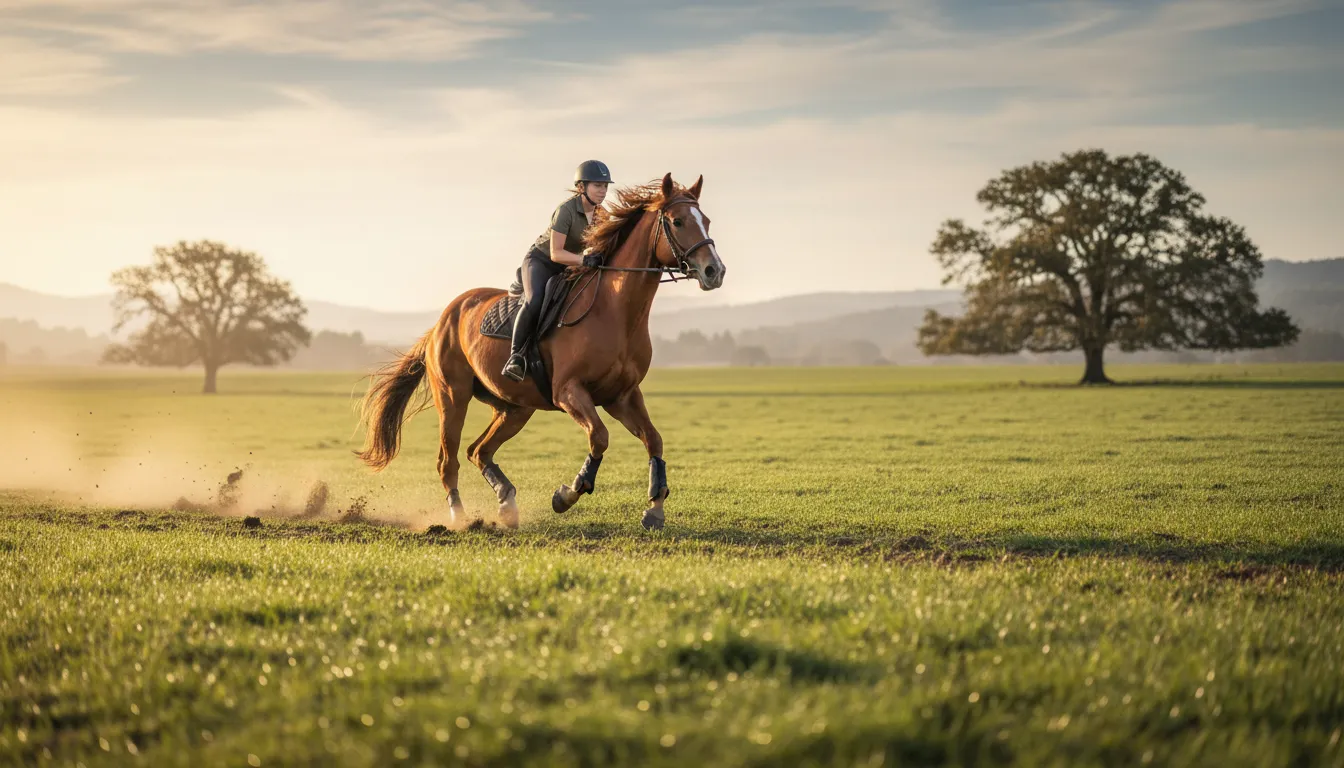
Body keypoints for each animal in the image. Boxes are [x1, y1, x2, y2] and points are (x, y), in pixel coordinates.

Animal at [356, 173, 727, 530]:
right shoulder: (569, 391)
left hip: (515, 407)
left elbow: (654, 440)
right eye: (677, 221)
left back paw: (507, 504)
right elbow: (599, 437)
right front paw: (567, 495)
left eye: (706, 220)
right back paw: (460, 519)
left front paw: (655, 509)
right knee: (448, 461)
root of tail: (441, 323)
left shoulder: (622, 396)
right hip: (453, 397)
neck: (616, 311)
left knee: (479, 451)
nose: (715, 271)